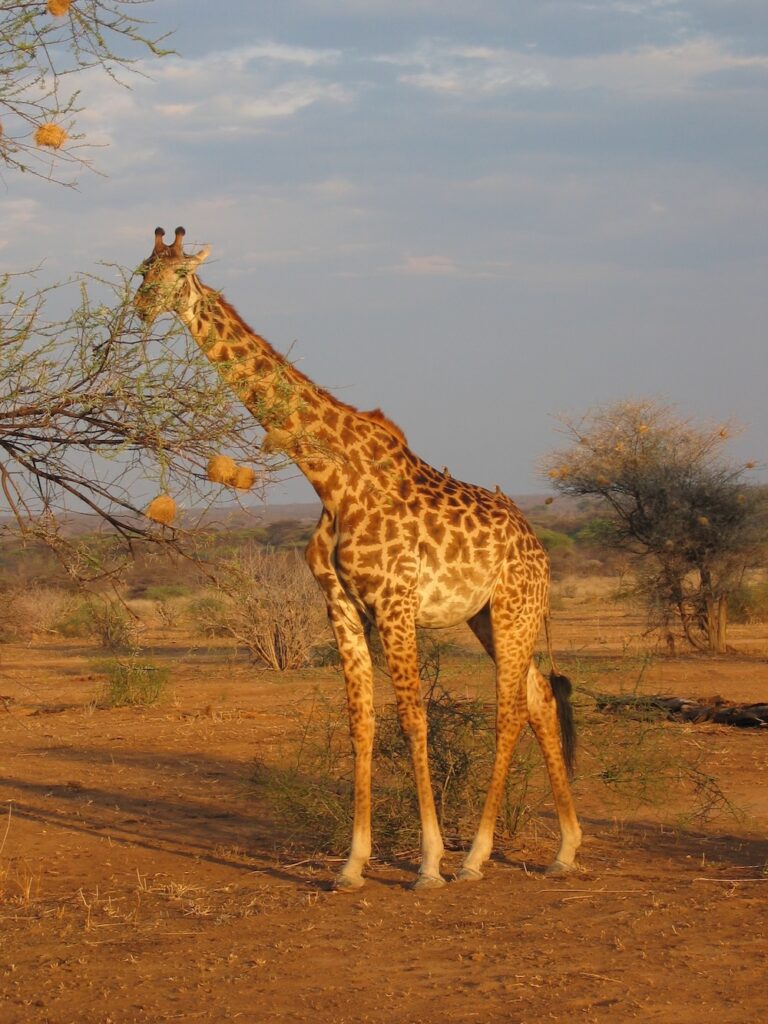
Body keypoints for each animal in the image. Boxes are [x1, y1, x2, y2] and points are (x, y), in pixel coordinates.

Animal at [135, 226, 582, 890]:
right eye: (142, 272)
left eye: (176, 274)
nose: (140, 309)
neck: (328, 477)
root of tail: (538, 549)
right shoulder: (341, 604)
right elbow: (361, 722)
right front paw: (351, 863)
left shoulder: (394, 601)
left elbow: (414, 718)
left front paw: (428, 863)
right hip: (489, 617)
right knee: (540, 700)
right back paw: (566, 848)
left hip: (513, 608)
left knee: (508, 711)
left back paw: (474, 857)